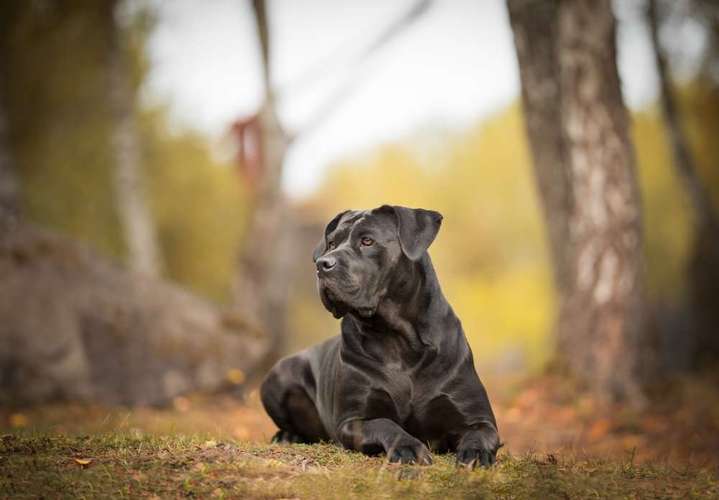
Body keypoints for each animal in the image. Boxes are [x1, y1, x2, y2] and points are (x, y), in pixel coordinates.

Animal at [258, 205, 500, 466]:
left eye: (367, 241)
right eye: (331, 243)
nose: (322, 264)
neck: (397, 339)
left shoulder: (479, 418)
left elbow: (480, 432)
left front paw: (476, 452)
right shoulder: (352, 421)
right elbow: (385, 423)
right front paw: (408, 446)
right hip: (279, 375)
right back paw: (287, 436)